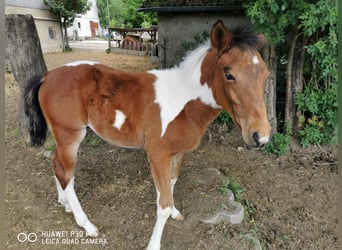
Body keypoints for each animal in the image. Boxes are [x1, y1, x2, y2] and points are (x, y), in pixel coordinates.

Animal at [23, 20, 270, 249]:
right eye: (229, 74)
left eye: (266, 75)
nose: (261, 136)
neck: (183, 100)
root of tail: (47, 76)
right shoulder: (157, 153)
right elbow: (163, 204)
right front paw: (154, 243)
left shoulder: (177, 152)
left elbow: (171, 184)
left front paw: (175, 212)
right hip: (70, 136)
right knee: (67, 176)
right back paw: (87, 224)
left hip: (62, 137)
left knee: (55, 163)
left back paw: (64, 203)